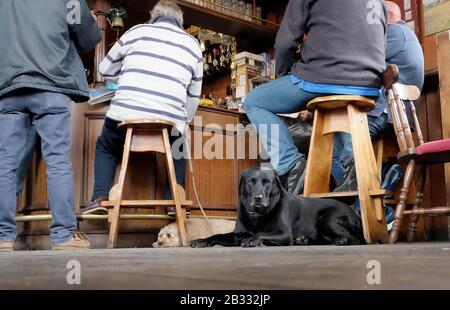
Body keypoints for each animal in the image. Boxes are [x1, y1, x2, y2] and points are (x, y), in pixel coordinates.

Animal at [192, 167, 364, 247]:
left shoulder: (284, 234)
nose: (258, 198)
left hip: (327, 220)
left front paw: (254, 240)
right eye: (250, 182)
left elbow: (261, 234)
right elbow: (218, 235)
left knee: (357, 239)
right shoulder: (238, 234)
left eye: (267, 182)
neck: (258, 216)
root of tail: (356, 214)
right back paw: (303, 240)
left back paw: (341, 240)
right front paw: (201, 240)